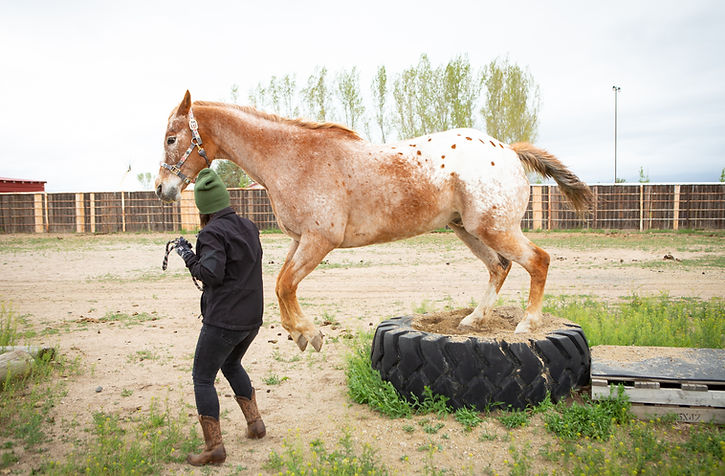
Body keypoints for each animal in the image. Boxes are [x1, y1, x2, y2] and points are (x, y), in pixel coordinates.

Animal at [155, 91, 593, 352]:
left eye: (171, 138)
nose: (162, 188)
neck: (294, 157)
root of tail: (511, 152)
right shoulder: (300, 241)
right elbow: (281, 285)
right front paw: (300, 333)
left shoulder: (319, 241)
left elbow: (284, 285)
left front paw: (308, 334)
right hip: (468, 230)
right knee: (499, 267)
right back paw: (473, 319)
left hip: (495, 229)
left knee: (537, 261)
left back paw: (527, 324)